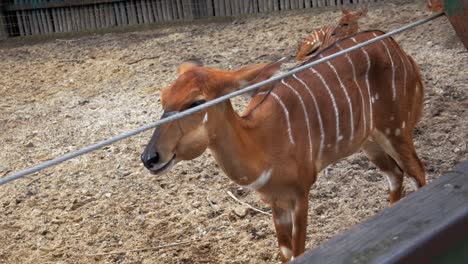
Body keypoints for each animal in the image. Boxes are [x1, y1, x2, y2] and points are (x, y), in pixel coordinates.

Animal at [141, 31, 426, 262]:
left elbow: (298, 252)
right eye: (163, 98)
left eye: (196, 102)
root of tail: (398, 49)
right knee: (395, 174)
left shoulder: (300, 193)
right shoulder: (275, 201)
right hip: (369, 141)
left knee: (417, 172)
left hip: (397, 129)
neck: (264, 143)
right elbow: (286, 253)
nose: (149, 157)